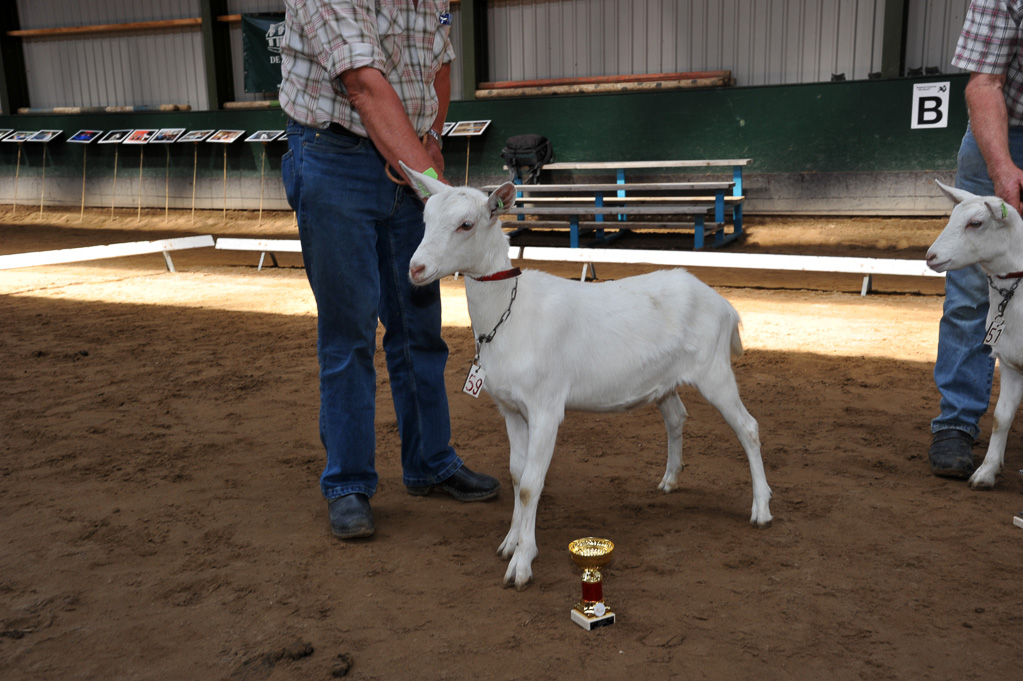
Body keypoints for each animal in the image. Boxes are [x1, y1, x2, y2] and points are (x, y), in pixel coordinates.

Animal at [403, 161, 769, 584]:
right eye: (425, 219)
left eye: (466, 224)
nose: (416, 268)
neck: (508, 312)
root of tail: (724, 304)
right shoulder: (510, 408)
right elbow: (516, 475)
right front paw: (510, 542)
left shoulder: (546, 407)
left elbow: (530, 485)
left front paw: (522, 564)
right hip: (664, 381)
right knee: (677, 417)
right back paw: (670, 480)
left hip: (715, 370)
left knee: (748, 427)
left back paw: (761, 509)